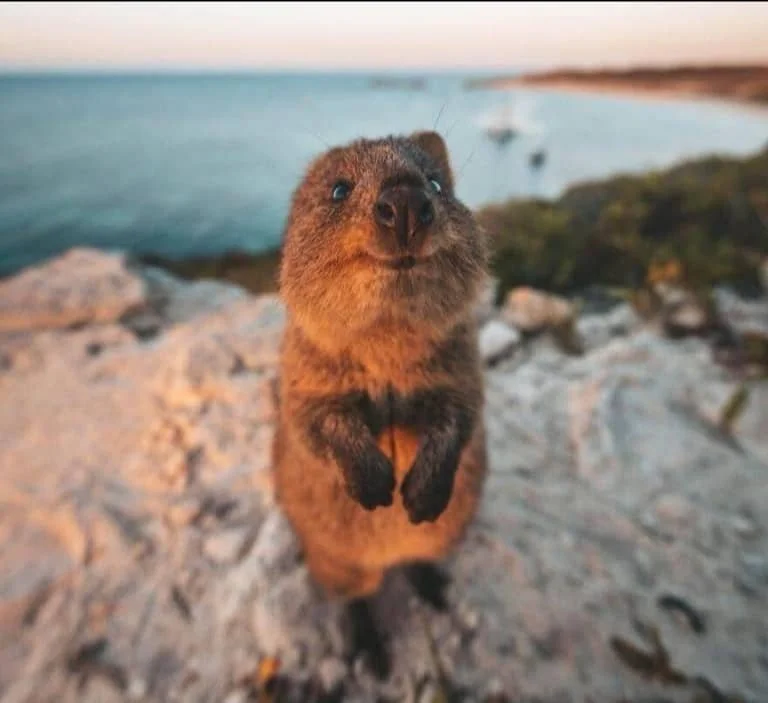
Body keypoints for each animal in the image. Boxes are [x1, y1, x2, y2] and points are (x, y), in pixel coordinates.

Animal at [273, 130, 489, 678]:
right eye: (338, 190)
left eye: (436, 182)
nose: (407, 201)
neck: (387, 340)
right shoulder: (301, 386)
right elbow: (323, 425)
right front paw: (374, 486)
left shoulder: (465, 374)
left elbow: (458, 421)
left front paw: (420, 496)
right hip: (337, 563)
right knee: (356, 600)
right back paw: (370, 653)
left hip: (442, 538)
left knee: (418, 561)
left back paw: (433, 588)